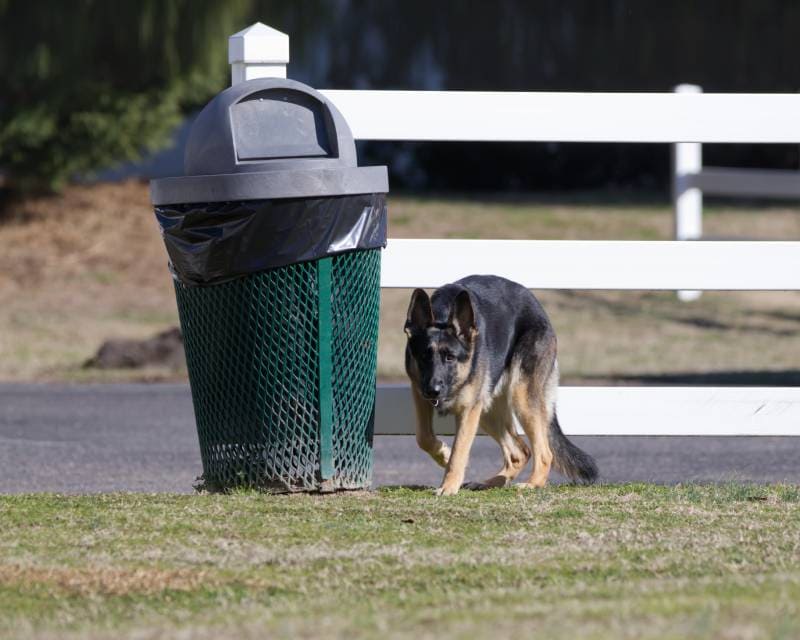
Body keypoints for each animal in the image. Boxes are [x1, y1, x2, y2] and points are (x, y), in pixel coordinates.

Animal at [404, 276, 596, 496]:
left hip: (520, 398)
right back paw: (489, 482)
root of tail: (537, 306)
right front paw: (443, 454)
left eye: (450, 357)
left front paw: (449, 485)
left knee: (544, 453)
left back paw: (532, 483)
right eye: (424, 357)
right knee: (520, 452)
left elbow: (459, 452)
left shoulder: (468, 410)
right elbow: (423, 437)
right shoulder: (420, 395)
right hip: (487, 410)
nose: (433, 390)